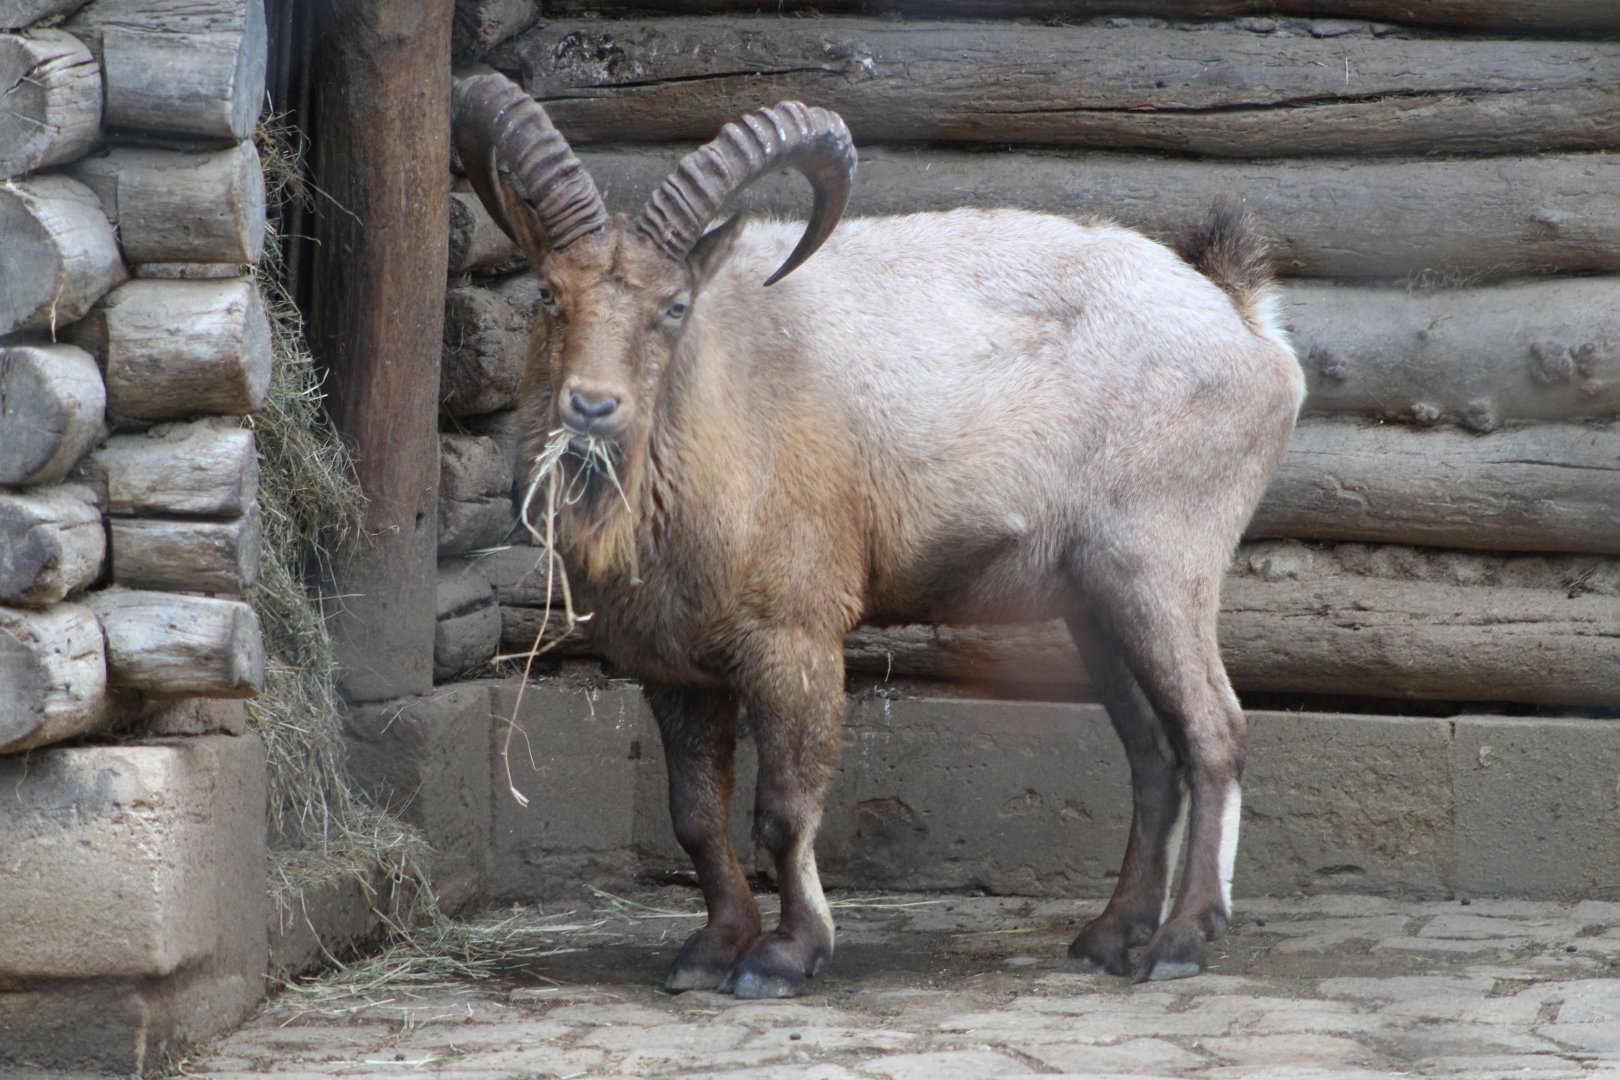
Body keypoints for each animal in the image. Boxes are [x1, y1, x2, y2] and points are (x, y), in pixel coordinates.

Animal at [453, 73, 1305, 998]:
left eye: (673, 307)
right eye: (547, 294)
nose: (591, 406)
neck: (717, 410)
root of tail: (1248, 324)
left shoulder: (793, 636)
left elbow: (784, 810)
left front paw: (785, 956)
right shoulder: (671, 665)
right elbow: (694, 815)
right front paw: (711, 949)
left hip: (1161, 568)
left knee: (1214, 734)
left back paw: (1183, 938)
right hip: (1095, 605)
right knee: (1152, 754)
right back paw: (1109, 934)